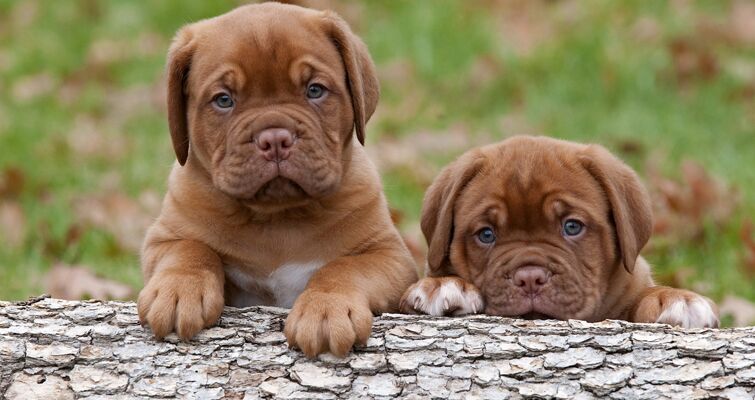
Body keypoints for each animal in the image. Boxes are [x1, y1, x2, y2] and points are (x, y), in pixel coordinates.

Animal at [137, 3, 420, 358]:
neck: (278, 217)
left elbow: (343, 268)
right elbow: (190, 250)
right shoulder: (164, 238)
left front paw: (326, 310)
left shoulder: (389, 256)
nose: (274, 139)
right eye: (224, 100)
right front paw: (178, 291)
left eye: (315, 90)